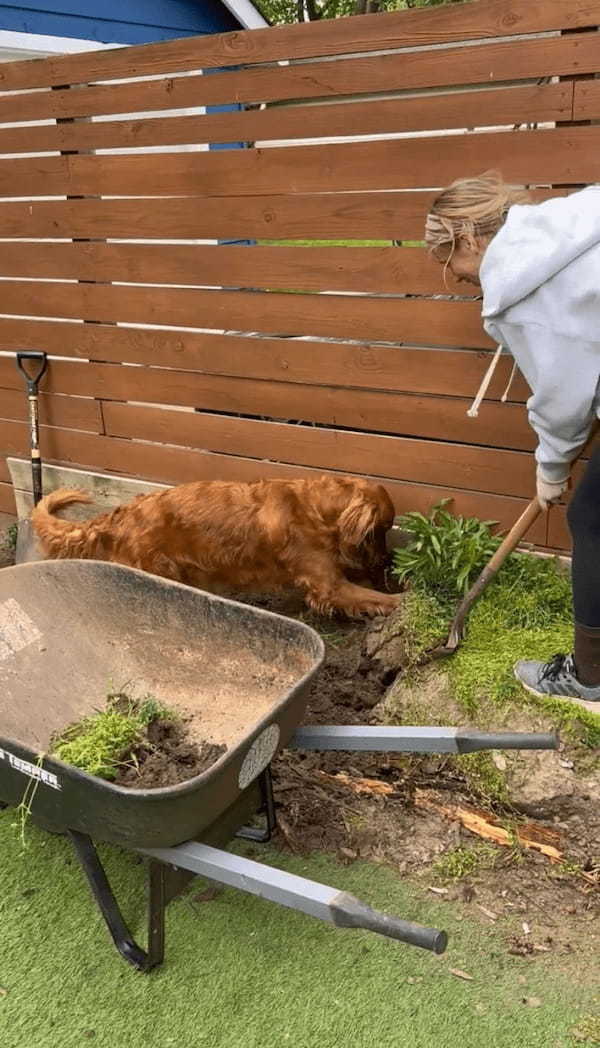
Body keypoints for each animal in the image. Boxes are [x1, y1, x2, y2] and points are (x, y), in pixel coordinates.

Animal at [31, 477, 397, 616]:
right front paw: (403, 600)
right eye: (381, 530)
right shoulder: (328, 585)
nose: (386, 560)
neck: (313, 506)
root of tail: (118, 515)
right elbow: (375, 598)